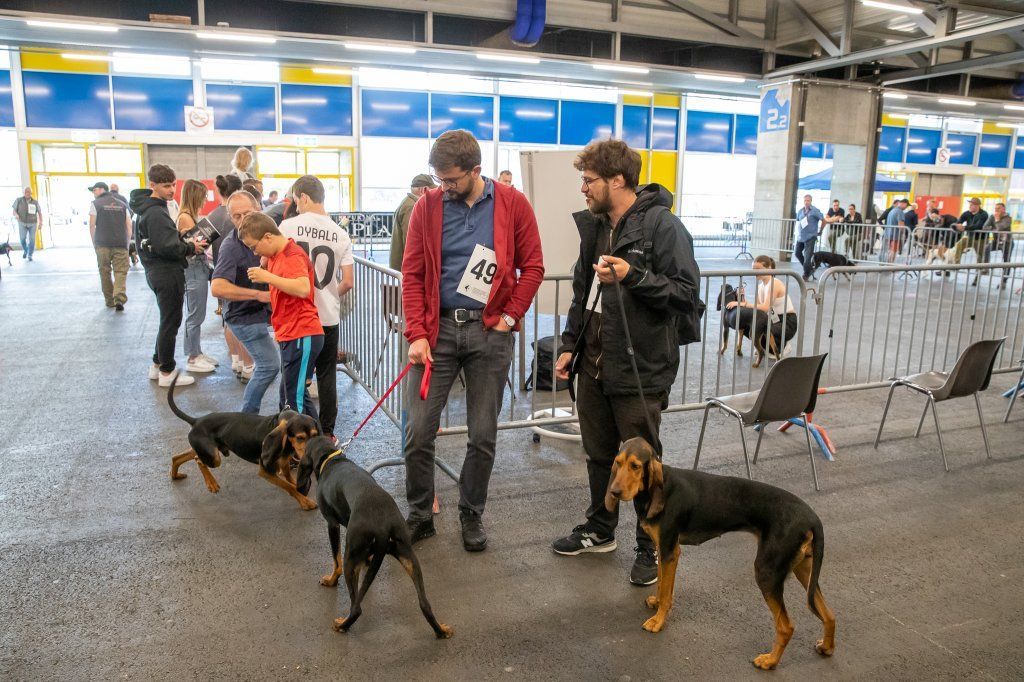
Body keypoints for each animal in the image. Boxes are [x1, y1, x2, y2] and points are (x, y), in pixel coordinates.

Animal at [165, 372, 317, 509]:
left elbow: (291, 481)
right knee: (198, 460)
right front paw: (305, 502)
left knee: (178, 457)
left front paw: (300, 491)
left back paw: (175, 475)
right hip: (214, 457)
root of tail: (196, 420)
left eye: (315, 435)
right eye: (300, 437)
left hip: (207, 449)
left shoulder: (284, 463)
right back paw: (211, 483)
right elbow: (288, 487)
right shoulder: (265, 471)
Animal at [299, 436, 454, 638]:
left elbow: (335, 561)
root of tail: (383, 526)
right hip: (408, 556)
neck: (332, 460)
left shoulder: (332, 525)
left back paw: (342, 625)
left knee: (356, 607)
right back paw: (441, 630)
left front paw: (331, 581)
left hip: (351, 555)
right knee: (425, 604)